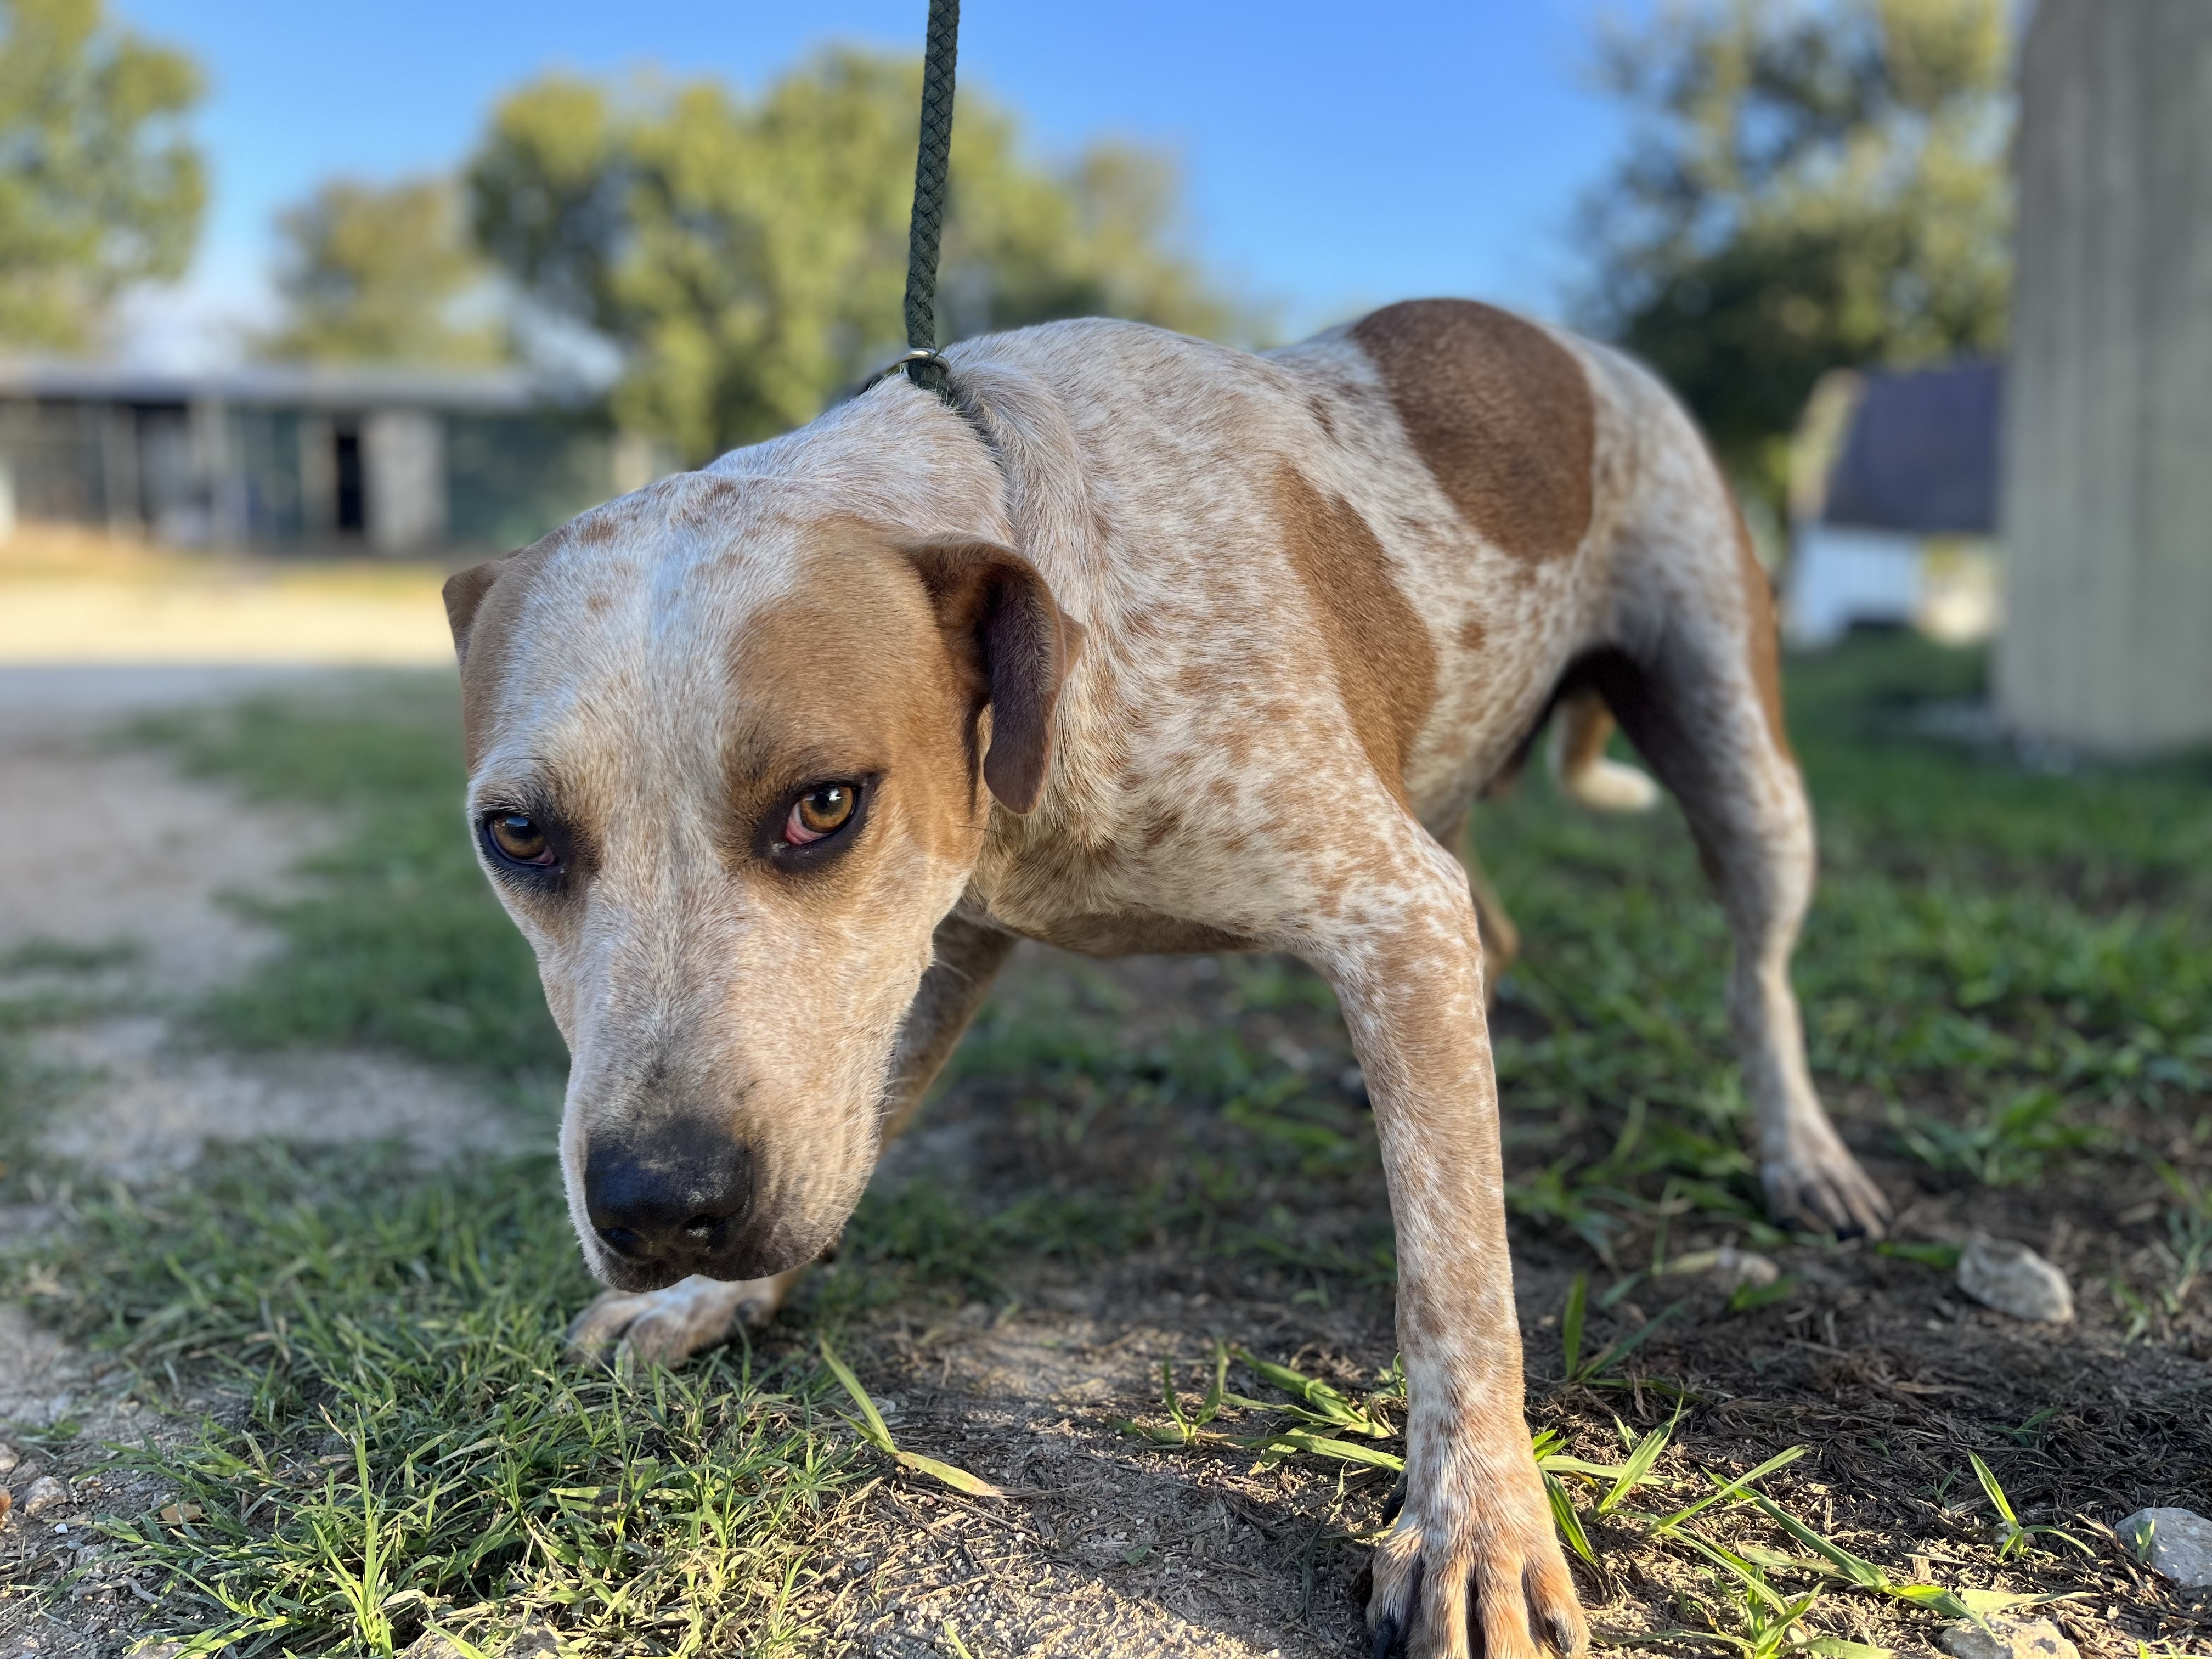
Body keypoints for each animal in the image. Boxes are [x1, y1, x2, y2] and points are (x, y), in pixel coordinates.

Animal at [440, 303, 1893, 1659]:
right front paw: (706, 1304)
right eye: (516, 835)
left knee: (1756, 978)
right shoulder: (935, 953)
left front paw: (1478, 1522)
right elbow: (860, 1117)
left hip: (1740, 761)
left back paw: (1804, 1155)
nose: (659, 1208)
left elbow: (1455, 1287)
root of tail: (1574, 344)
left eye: (824, 805)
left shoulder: (1391, 908)